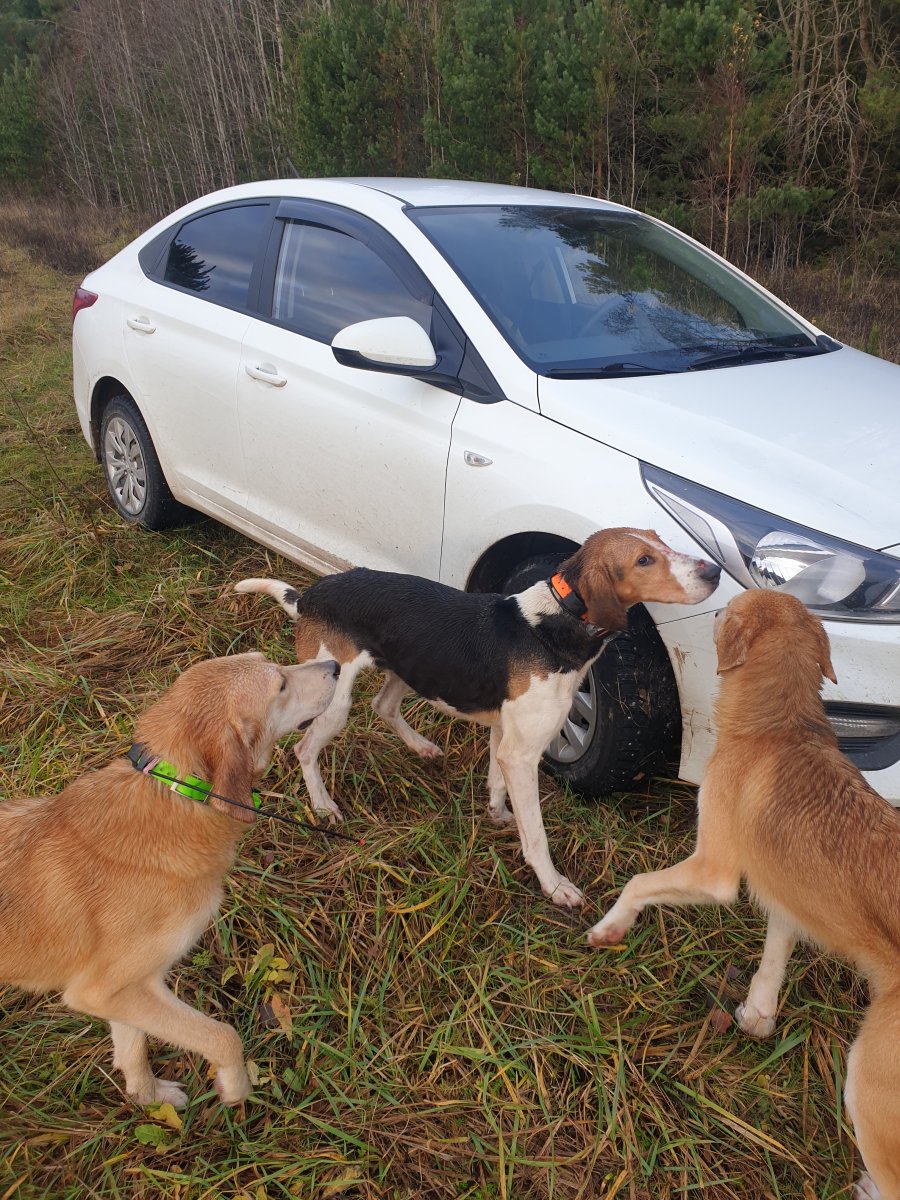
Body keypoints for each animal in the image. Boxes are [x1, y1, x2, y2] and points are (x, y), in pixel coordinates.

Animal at [0, 651, 338, 1109]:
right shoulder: (103, 990)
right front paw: (234, 1089)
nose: (336, 665)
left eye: (270, 661)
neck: (177, 790)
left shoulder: (128, 990)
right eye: (280, 685)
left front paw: (148, 1097)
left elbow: (132, 1050)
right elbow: (223, 1036)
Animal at [235, 528, 720, 907]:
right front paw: (553, 885)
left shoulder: (506, 736)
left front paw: (499, 814)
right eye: (643, 560)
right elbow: (536, 833)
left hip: (414, 667)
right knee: (305, 748)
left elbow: (497, 782)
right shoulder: (524, 753)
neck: (556, 620)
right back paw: (323, 805)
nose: (714, 571)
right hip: (334, 697)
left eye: (659, 539)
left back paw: (421, 747)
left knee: (384, 706)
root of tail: (310, 595)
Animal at [587, 589, 900, 1198]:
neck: (775, 726)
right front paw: (757, 1018)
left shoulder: (714, 871)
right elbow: (771, 964)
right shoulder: (782, 895)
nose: (709, 603)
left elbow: (638, 884)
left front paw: (611, 926)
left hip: (869, 1085)